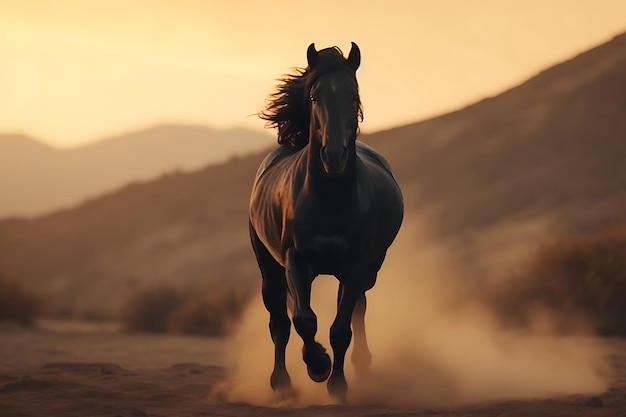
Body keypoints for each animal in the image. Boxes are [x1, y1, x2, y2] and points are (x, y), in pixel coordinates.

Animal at [246, 43, 402, 400]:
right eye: (315, 97)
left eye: (354, 96)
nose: (333, 155)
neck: (330, 201)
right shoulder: (295, 260)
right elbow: (303, 319)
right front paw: (317, 365)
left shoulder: (357, 265)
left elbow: (341, 328)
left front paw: (337, 383)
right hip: (268, 266)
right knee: (279, 321)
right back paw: (281, 384)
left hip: (369, 270)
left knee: (358, 308)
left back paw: (362, 364)